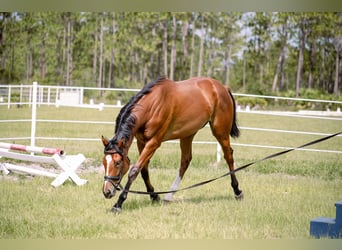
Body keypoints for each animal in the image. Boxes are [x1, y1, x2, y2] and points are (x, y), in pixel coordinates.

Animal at [101, 76, 243, 213]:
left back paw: (237, 191)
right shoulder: (141, 142)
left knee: (228, 156)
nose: (107, 191)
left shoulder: (153, 143)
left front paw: (118, 204)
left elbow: (134, 170)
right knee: (185, 161)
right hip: (188, 134)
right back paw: (169, 196)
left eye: (117, 162)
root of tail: (223, 88)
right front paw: (154, 196)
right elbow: (144, 170)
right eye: (104, 162)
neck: (152, 105)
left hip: (220, 132)